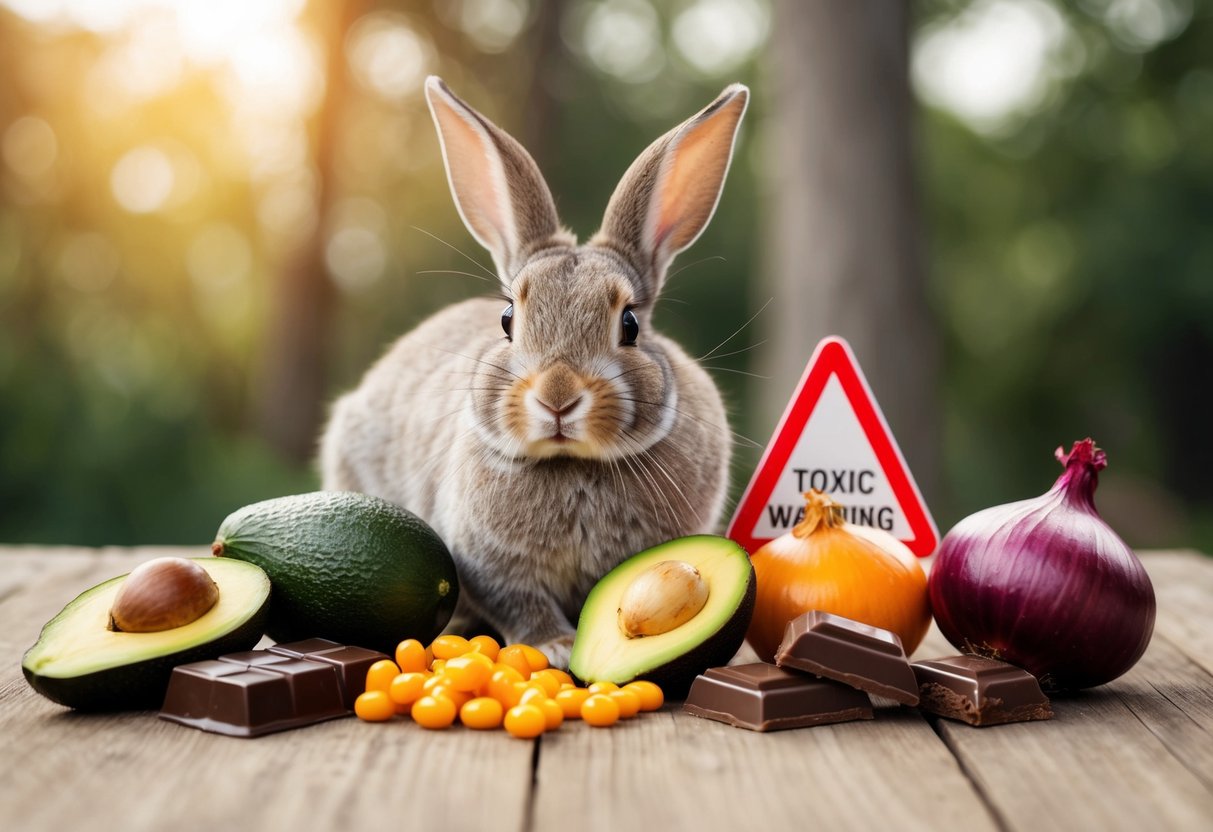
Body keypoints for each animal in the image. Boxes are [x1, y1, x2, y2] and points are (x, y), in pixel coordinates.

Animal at [320, 76, 749, 668]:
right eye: (507, 320)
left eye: (631, 324)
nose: (557, 396)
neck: (572, 463)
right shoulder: (488, 563)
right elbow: (519, 601)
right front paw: (557, 647)